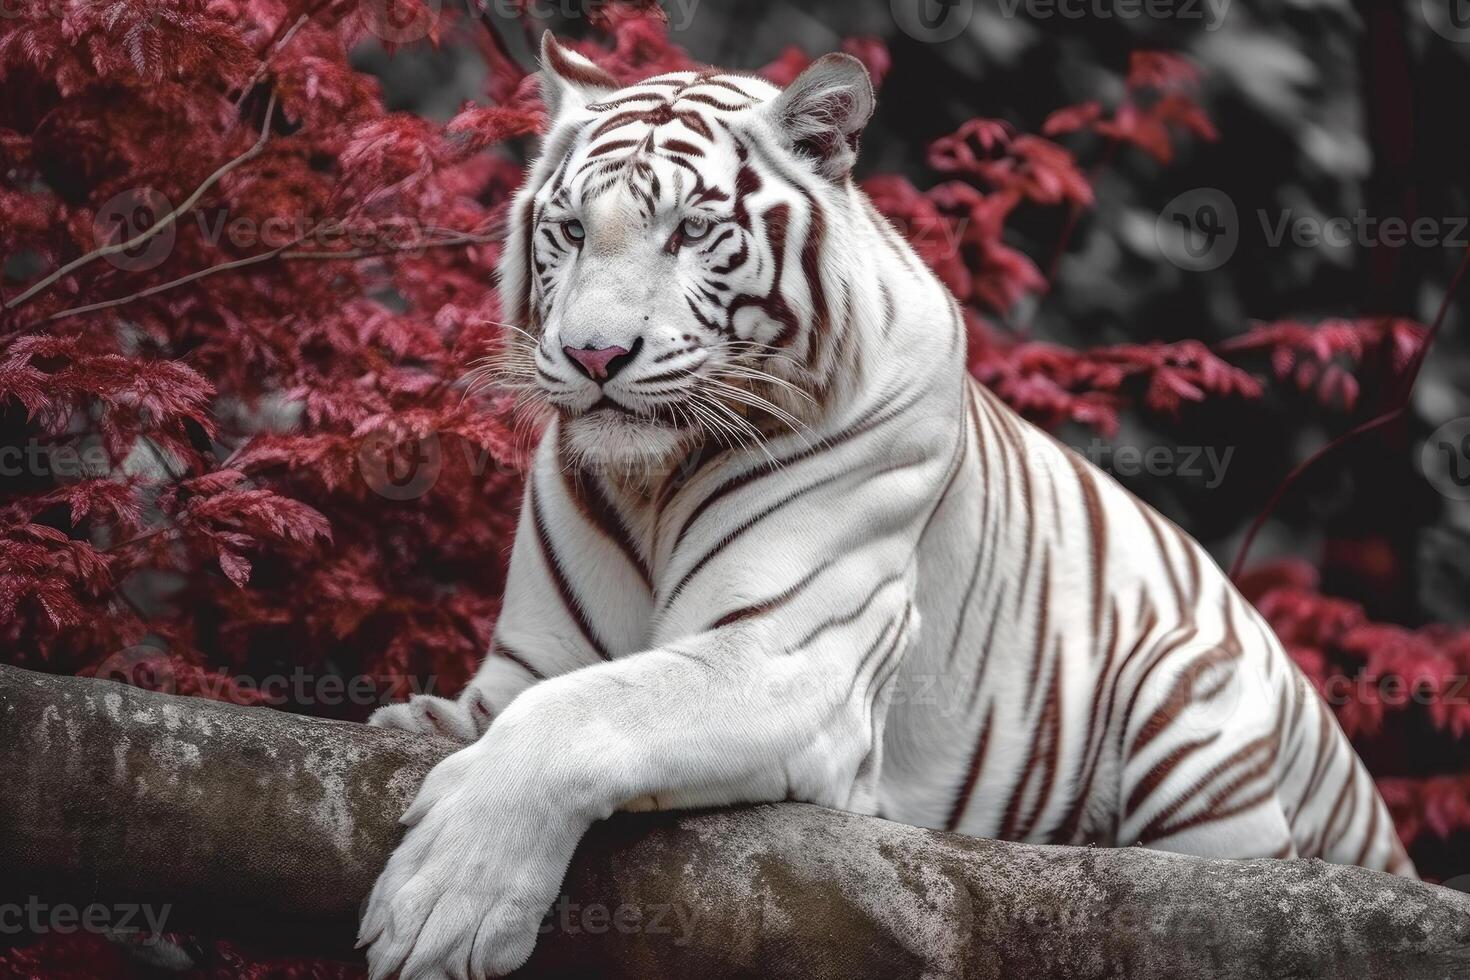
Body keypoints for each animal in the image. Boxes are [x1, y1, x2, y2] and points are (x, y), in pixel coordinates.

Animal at [358, 34, 1411, 975]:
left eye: (691, 232)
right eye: (571, 229)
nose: (593, 355)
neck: (649, 480)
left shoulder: (787, 655)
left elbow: (582, 714)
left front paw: (446, 903)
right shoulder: (528, 659)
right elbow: (498, 707)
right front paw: (417, 727)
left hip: (1185, 694)